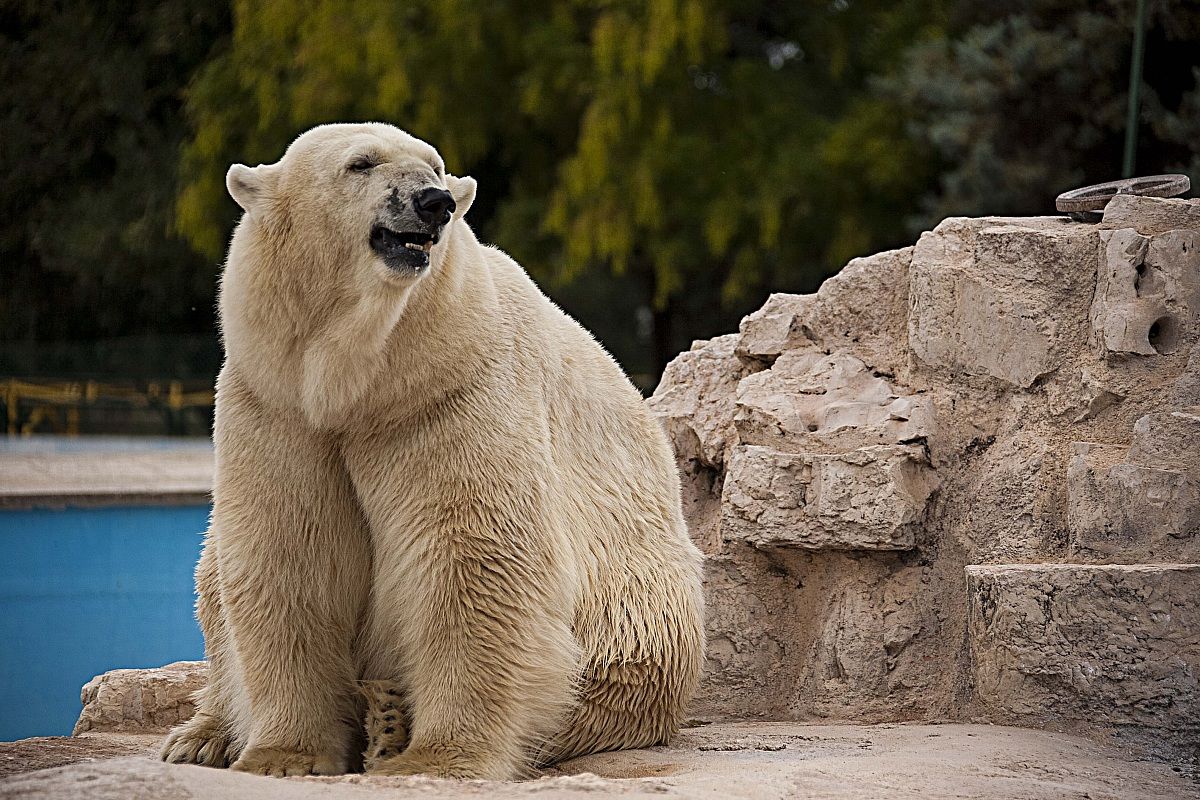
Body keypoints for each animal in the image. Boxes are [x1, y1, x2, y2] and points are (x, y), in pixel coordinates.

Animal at [159, 122, 705, 780]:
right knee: (212, 584)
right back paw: (202, 736)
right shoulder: (276, 405)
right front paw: (282, 757)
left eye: (438, 166)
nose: (434, 202)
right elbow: (288, 550)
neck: (357, 385)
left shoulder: (449, 392)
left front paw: (436, 758)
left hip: (636, 625)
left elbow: (473, 555)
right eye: (361, 163)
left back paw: (390, 720)